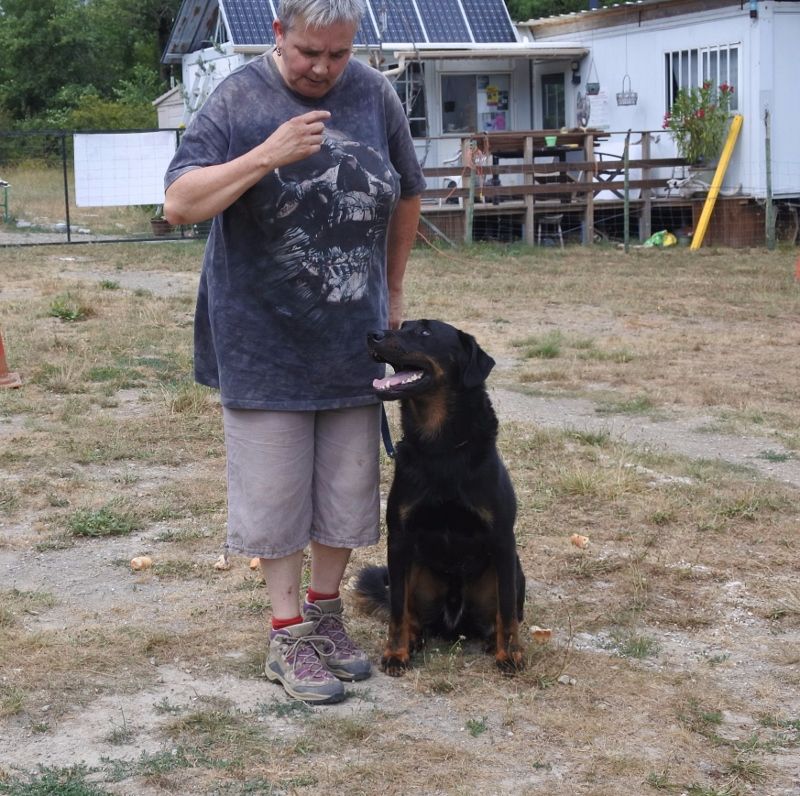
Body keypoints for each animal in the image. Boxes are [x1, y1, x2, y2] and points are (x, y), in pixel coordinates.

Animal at [356, 319, 525, 675]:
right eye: (402, 325)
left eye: (424, 332)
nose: (372, 334)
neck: (440, 446)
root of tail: (455, 625)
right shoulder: (399, 539)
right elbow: (396, 610)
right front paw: (396, 653)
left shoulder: (503, 539)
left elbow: (506, 611)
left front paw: (510, 655)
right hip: (415, 568)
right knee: (410, 612)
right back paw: (414, 639)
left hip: (514, 568)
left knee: (503, 613)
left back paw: (493, 642)